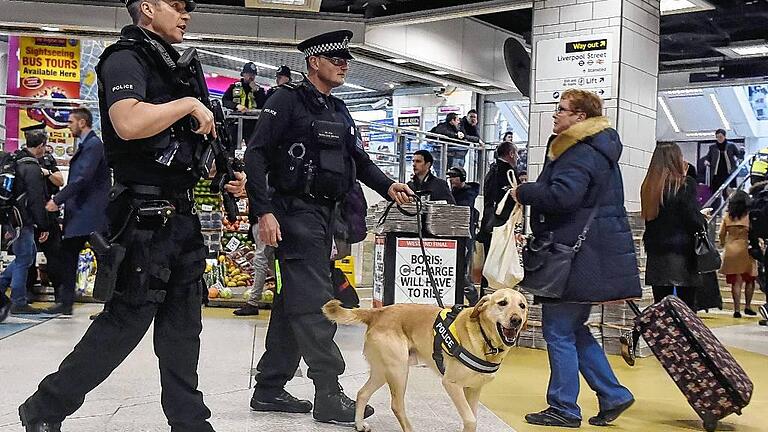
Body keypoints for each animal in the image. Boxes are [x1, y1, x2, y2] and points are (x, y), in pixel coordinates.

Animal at [322, 286, 528, 432]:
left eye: (522, 306)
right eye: (502, 303)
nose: (516, 320)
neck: (485, 339)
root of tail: (379, 312)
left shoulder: (473, 389)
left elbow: (472, 417)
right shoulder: (452, 384)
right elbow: (470, 420)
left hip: (383, 371)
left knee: (362, 393)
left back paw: (359, 424)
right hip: (398, 371)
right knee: (396, 405)